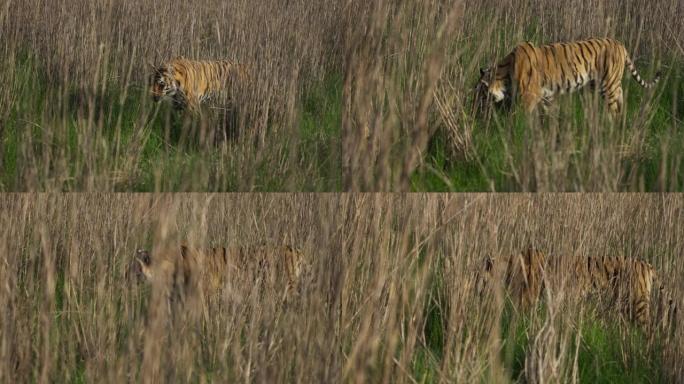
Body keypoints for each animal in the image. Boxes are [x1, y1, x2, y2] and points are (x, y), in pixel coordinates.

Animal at [472, 37, 660, 116]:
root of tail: (620, 44)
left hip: (609, 85)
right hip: (604, 84)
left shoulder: (529, 96)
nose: (474, 108)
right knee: (621, 97)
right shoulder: (545, 96)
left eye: (480, 93)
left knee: (613, 107)